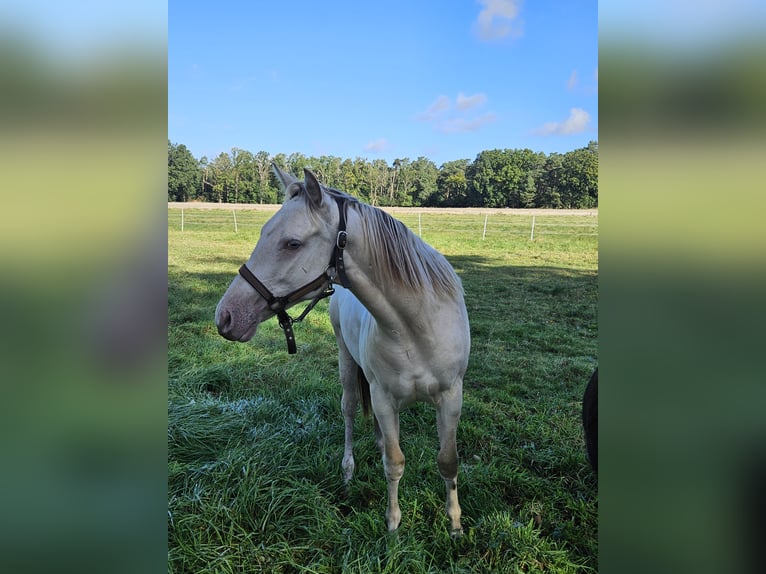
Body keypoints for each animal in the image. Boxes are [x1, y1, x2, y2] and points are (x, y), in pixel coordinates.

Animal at [213, 165, 472, 536]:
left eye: (292, 243)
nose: (226, 316)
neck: (417, 328)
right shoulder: (383, 398)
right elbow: (394, 463)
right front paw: (393, 525)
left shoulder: (451, 398)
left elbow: (447, 462)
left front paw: (455, 525)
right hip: (346, 362)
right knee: (349, 411)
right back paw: (348, 473)